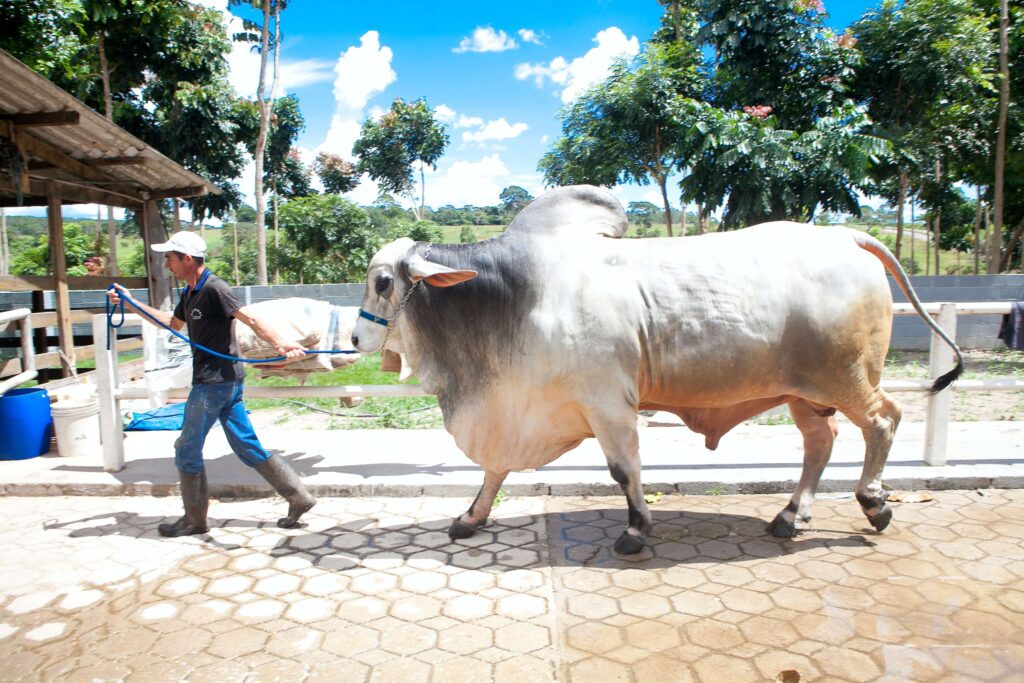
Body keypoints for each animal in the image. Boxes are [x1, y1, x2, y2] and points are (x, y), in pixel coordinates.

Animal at [352, 187, 958, 557]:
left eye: (382, 282)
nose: (356, 339)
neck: (513, 298)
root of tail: (846, 235)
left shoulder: (607, 404)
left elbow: (625, 471)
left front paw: (636, 531)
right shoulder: (521, 408)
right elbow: (495, 470)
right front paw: (471, 518)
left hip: (847, 377)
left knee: (883, 419)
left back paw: (873, 502)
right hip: (802, 391)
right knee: (821, 441)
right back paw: (791, 515)